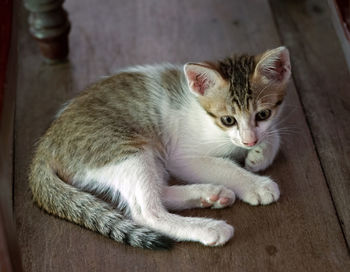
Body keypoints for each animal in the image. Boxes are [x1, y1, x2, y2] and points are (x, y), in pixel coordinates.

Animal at [29, 46, 290, 249]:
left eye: (263, 114)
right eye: (228, 120)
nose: (250, 142)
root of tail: (47, 141)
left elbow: (273, 133)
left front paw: (260, 154)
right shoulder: (181, 156)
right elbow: (223, 166)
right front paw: (256, 184)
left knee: (157, 190)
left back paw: (210, 194)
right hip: (124, 148)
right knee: (146, 212)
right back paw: (208, 227)